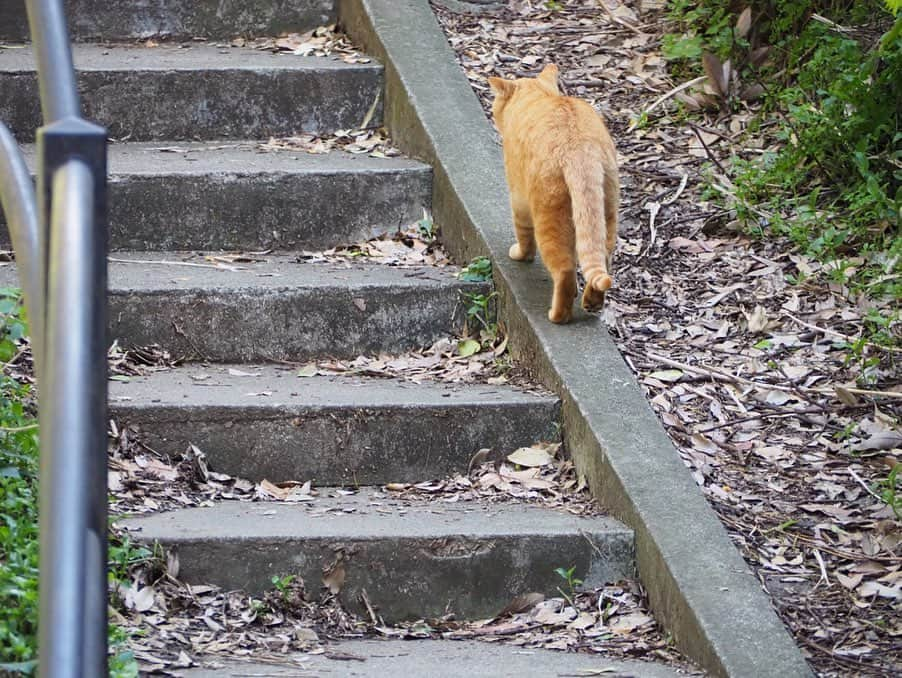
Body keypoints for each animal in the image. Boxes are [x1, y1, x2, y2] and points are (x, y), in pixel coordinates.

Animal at [488, 63, 620, 324]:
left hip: (550, 220)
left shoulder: (518, 197)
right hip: (606, 214)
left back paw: (557, 315)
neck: (541, 96)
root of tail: (580, 148)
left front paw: (520, 254)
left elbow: (523, 235)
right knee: (602, 260)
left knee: (564, 271)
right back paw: (591, 302)